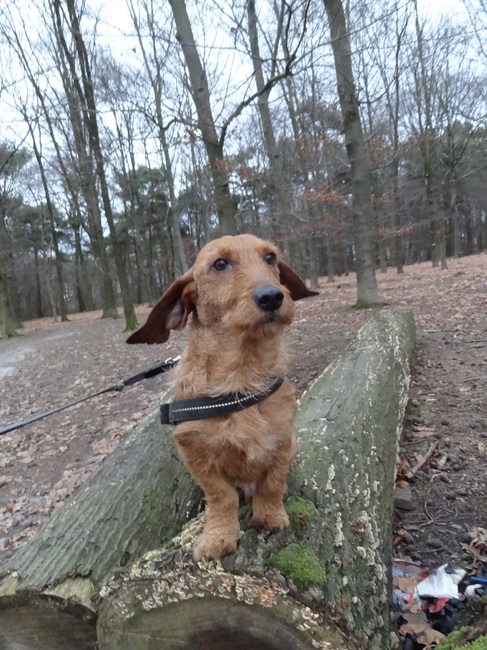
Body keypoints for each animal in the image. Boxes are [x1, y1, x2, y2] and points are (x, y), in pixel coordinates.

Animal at [128, 234, 317, 560]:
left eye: (270, 258)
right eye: (220, 264)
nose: (272, 297)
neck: (241, 379)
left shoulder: (283, 441)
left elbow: (272, 482)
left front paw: (270, 515)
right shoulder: (194, 454)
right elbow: (222, 495)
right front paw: (218, 535)